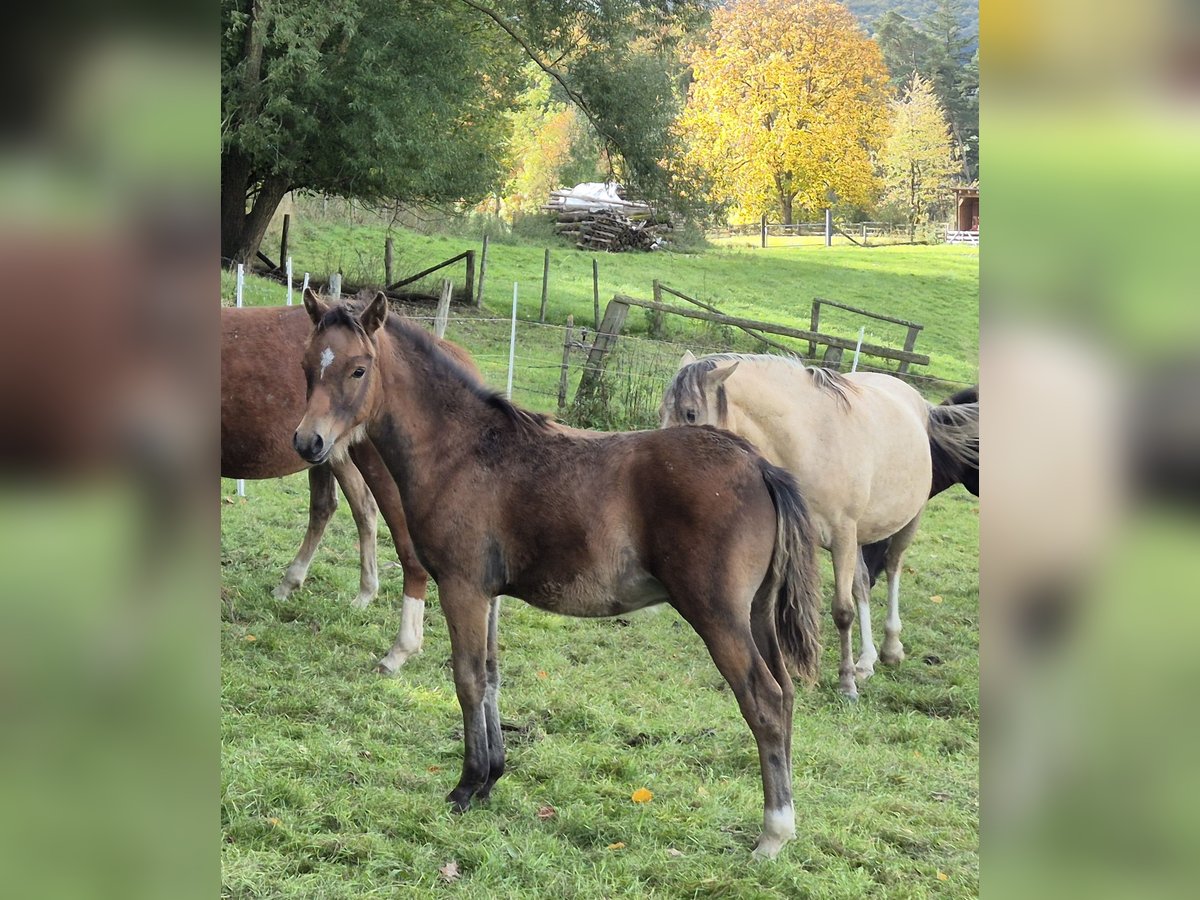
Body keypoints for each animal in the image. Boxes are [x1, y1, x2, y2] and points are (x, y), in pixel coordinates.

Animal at [295, 294, 830, 859]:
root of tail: (760, 466)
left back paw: (773, 834)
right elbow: (491, 677)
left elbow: (467, 679)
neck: (462, 449)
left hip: (718, 614)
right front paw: (491, 778)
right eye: (307, 365)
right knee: (786, 694)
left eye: (358, 368)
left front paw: (466, 786)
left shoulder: (462, 586)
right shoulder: (490, 593)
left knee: (764, 701)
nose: (308, 442)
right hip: (758, 614)